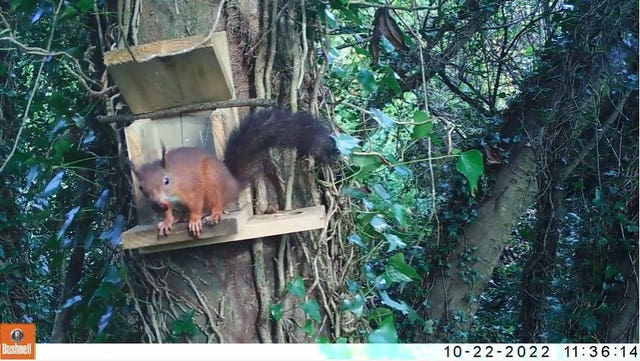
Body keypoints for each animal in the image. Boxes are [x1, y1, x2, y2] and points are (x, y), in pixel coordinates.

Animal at [132, 110, 338, 239]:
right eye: (141, 188)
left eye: (166, 180)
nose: (156, 205)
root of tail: (232, 184)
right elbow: (168, 211)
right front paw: (166, 221)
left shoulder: (192, 187)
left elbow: (196, 204)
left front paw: (194, 220)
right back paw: (180, 217)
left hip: (214, 182)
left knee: (217, 203)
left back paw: (211, 215)